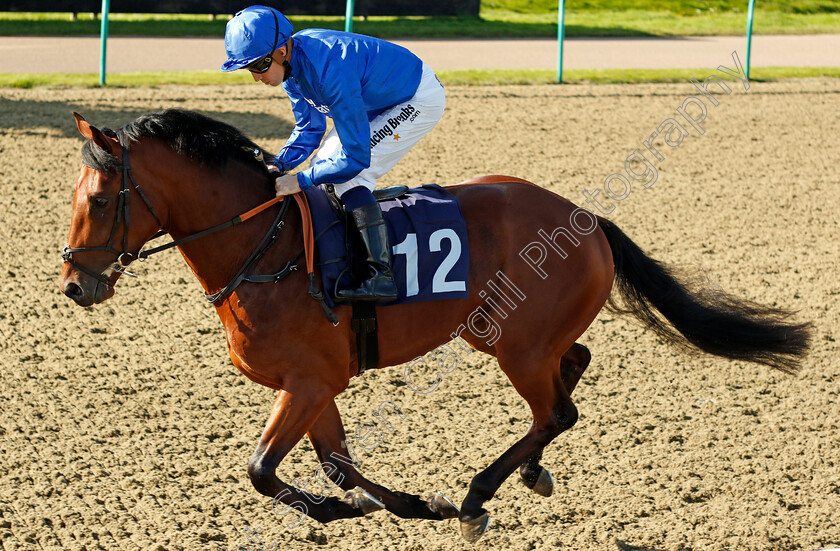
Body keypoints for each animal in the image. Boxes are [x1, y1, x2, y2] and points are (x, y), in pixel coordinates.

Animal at [60, 109, 812, 544]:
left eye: (97, 200)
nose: (74, 284)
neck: (263, 248)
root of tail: (588, 217)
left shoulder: (309, 381)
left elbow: (263, 469)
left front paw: (405, 506)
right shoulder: (314, 385)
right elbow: (337, 466)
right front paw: (397, 506)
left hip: (518, 346)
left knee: (557, 409)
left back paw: (482, 492)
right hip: (502, 331)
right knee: (574, 370)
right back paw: (527, 473)